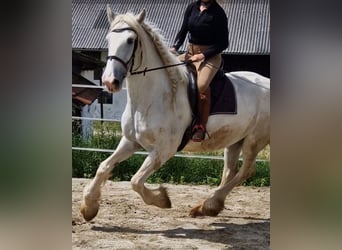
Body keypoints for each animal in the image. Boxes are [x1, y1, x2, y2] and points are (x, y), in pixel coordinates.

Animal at [81, 6, 270, 221]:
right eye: (108, 39)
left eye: (130, 40)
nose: (109, 81)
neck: (152, 98)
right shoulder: (130, 141)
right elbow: (103, 167)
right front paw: (89, 207)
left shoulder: (163, 150)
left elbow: (135, 181)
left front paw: (162, 199)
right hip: (235, 140)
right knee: (230, 171)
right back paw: (208, 206)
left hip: (254, 140)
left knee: (246, 171)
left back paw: (209, 205)